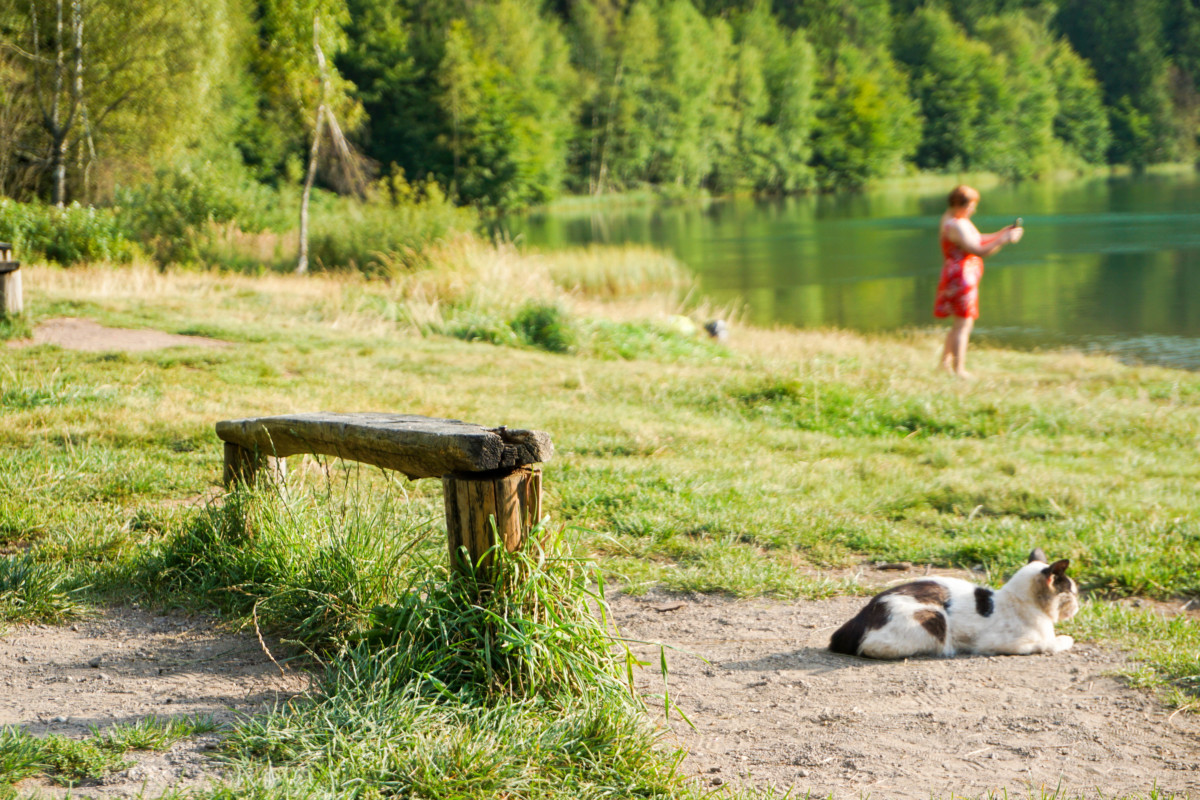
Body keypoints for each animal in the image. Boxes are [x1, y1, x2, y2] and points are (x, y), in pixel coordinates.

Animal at [835, 546, 1080, 662]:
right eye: (1072, 592)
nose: (1078, 606)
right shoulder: (1005, 644)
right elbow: (1052, 643)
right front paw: (1066, 639)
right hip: (934, 618)